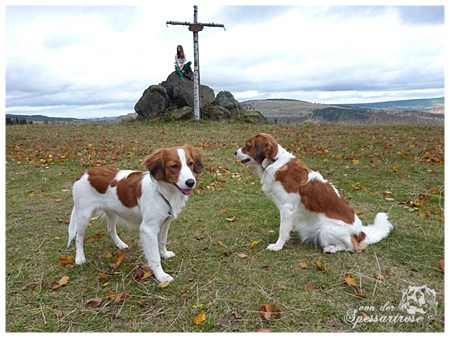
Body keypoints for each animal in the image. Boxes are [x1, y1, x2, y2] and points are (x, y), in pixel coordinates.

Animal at [67, 145, 203, 282]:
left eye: (190, 163)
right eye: (174, 166)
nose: (191, 182)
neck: (163, 191)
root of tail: (83, 173)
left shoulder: (165, 223)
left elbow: (162, 241)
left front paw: (164, 254)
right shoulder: (148, 229)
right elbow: (154, 257)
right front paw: (161, 276)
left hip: (113, 211)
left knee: (110, 228)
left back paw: (120, 244)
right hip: (84, 214)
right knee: (79, 236)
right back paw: (80, 257)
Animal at [236, 133, 394, 255]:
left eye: (247, 145)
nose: (235, 152)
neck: (274, 161)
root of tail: (360, 232)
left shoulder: (287, 208)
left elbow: (282, 229)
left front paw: (278, 246)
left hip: (326, 230)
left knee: (354, 248)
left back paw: (332, 248)